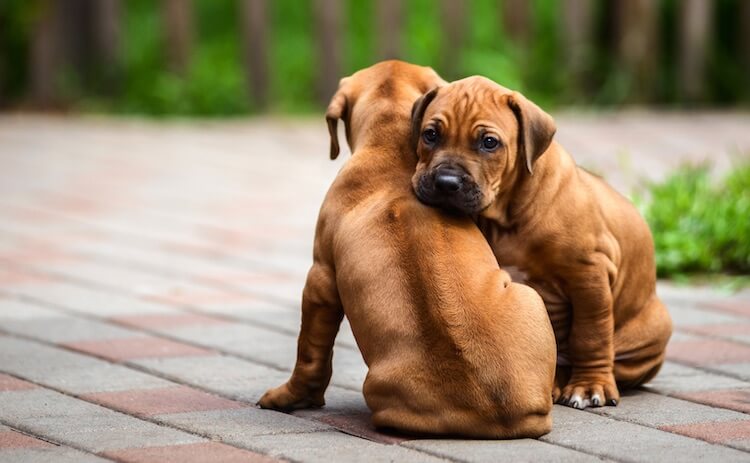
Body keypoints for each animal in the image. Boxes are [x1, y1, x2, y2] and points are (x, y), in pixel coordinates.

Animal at [258, 62, 560, 438]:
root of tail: (501, 416)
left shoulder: (320, 278)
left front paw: (291, 397)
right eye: (431, 135)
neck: (389, 143)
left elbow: (311, 354)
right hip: (529, 297)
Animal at [412, 76, 676, 410]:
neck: (507, 214)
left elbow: (591, 334)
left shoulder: (589, 273)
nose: (446, 183)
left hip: (653, 330)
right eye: (430, 135)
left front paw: (590, 386)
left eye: (489, 142)